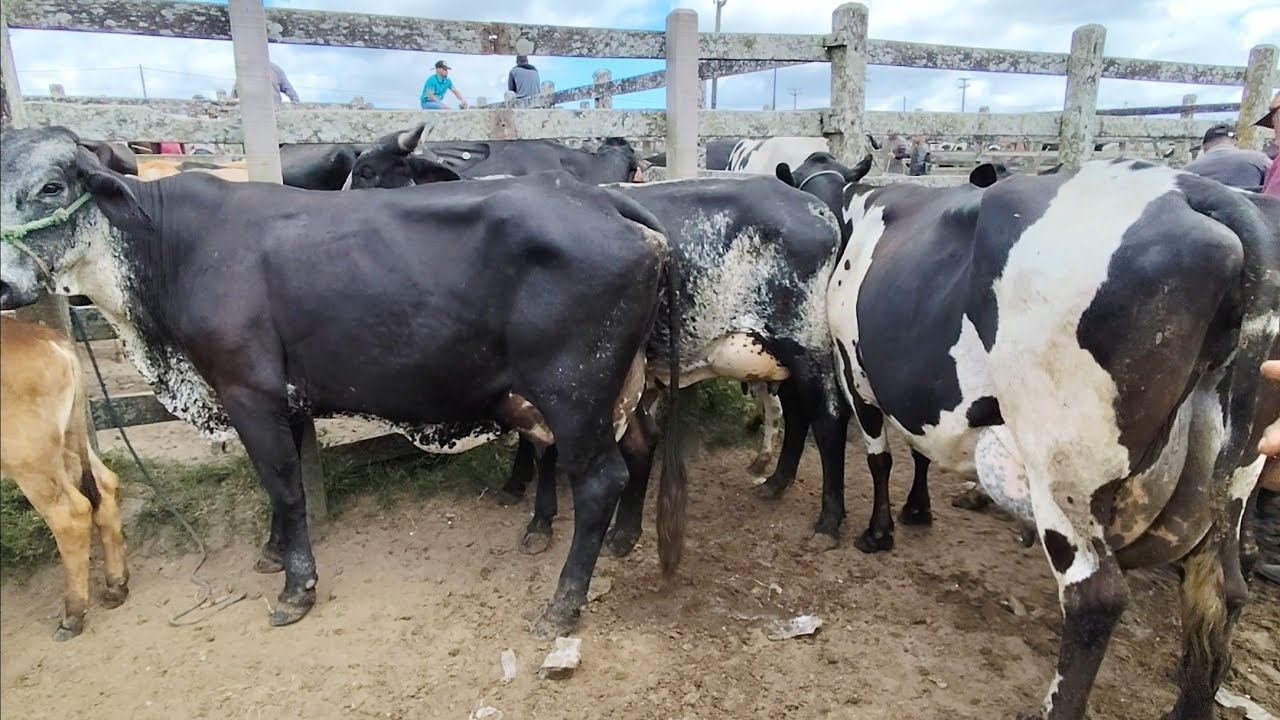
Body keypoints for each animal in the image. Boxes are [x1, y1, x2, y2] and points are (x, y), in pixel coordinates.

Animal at [1, 315, 130, 640]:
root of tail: (51, 339)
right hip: (69, 444)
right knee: (105, 487)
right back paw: (115, 585)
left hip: (31, 460)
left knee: (70, 515)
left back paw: (73, 614)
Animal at [347, 133, 854, 555]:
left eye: (370, 172)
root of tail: (818, 208)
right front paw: (520, 489)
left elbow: (543, 447)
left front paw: (538, 517)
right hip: (778, 350)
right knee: (798, 413)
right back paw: (777, 481)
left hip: (806, 342)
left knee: (829, 420)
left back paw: (829, 521)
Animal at [782, 150, 1279, 718]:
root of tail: (1191, 190)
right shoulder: (921, 388)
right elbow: (920, 451)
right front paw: (916, 511)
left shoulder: (856, 370)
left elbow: (881, 458)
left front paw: (878, 532)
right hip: (1233, 476)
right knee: (1222, 590)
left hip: (1065, 466)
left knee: (1095, 597)